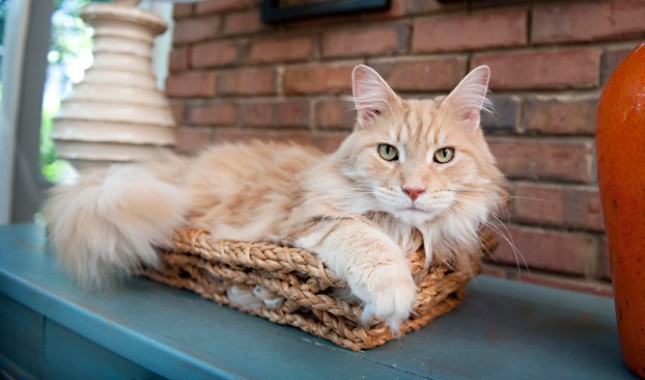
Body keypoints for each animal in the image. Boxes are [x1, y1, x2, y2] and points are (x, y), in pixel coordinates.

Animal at [44, 65, 508, 332]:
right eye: (388, 152)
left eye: (444, 156)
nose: (413, 190)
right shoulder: (306, 223)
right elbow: (365, 240)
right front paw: (393, 299)